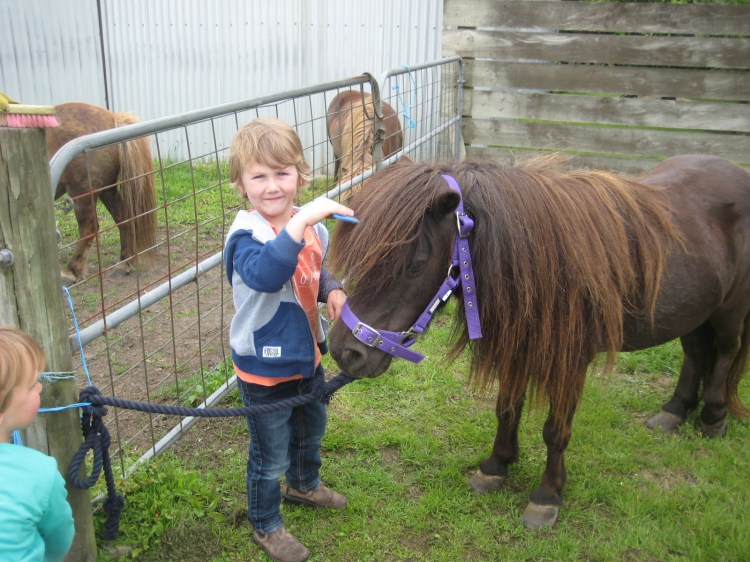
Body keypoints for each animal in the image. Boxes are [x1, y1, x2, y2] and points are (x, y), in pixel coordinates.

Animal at [46, 102, 157, 285]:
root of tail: (113, 119)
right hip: (106, 188)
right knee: (123, 218)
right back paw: (124, 264)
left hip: (83, 190)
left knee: (89, 227)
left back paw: (71, 272)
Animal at [327, 154, 750, 530]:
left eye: (415, 264)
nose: (343, 351)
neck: (546, 261)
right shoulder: (518, 347)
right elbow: (506, 409)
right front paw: (495, 467)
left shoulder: (571, 362)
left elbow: (555, 431)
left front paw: (547, 496)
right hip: (694, 310)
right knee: (695, 353)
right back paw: (675, 411)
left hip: (728, 311)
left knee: (726, 354)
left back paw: (714, 417)